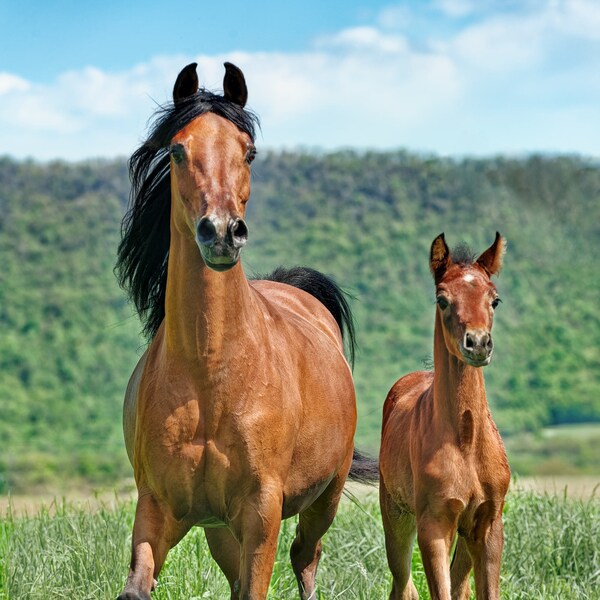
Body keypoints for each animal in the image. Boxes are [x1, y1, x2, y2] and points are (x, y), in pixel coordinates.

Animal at [380, 232, 506, 596]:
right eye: (442, 299)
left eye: (495, 300)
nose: (477, 343)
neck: (466, 443)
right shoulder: (434, 524)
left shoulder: (489, 524)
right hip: (396, 517)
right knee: (403, 585)